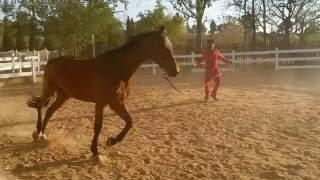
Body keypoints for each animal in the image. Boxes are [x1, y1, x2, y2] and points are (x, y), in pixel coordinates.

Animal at [27, 26, 180, 157]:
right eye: (163, 48)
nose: (176, 71)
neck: (116, 68)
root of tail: (51, 61)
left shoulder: (116, 103)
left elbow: (129, 122)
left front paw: (111, 141)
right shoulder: (101, 103)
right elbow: (98, 126)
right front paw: (95, 152)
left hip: (63, 95)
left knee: (49, 111)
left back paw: (42, 134)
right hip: (49, 89)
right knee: (40, 106)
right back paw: (38, 133)